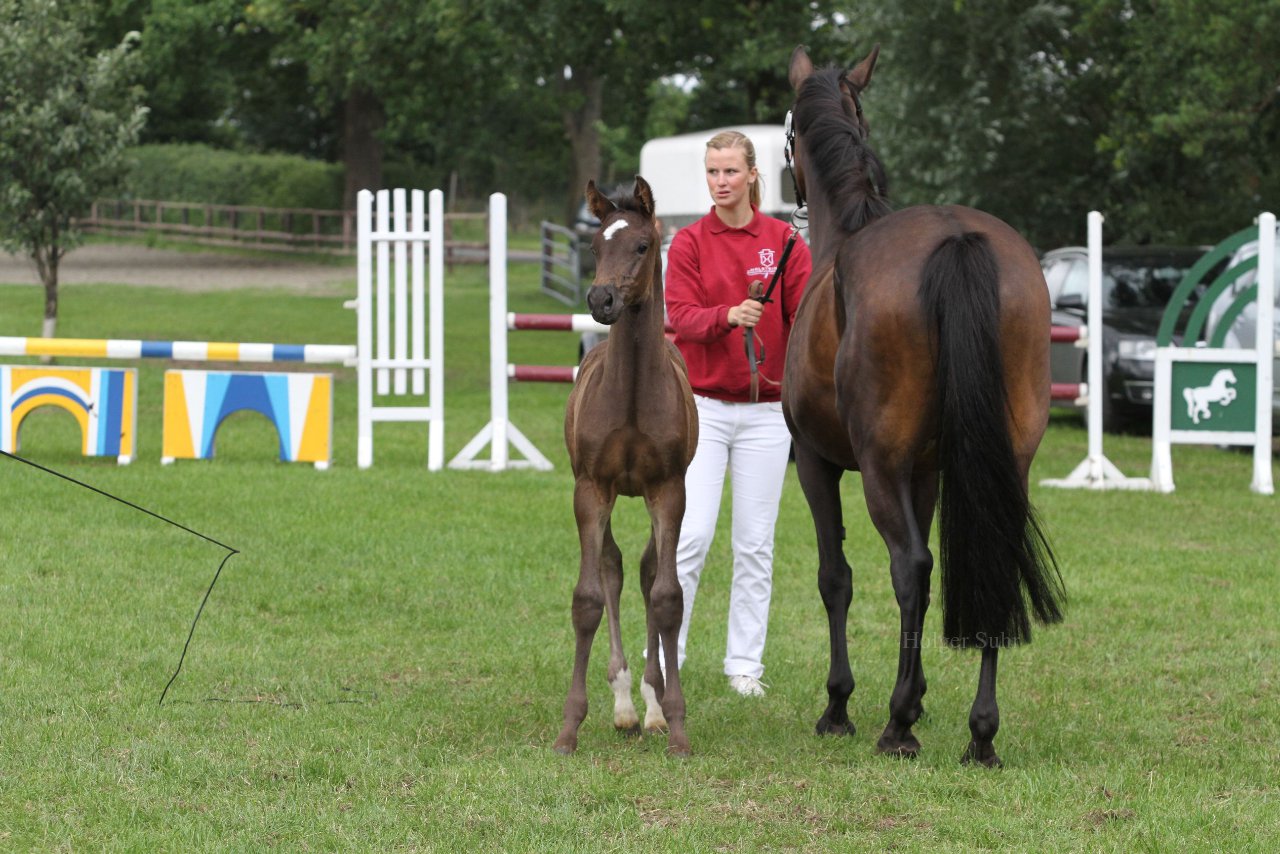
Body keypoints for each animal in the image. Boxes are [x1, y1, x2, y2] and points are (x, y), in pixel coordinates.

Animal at [783, 46, 1064, 768]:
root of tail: (957, 238)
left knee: (907, 566)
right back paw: (981, 735)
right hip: (1003, 462)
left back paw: (897, 723)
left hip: (878, 469)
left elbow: (837, 577)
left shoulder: (817, 464)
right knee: (990, 558)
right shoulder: (930, 472)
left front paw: (840, 705)